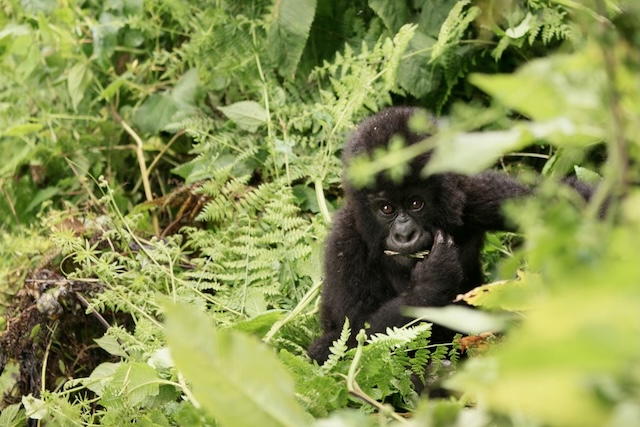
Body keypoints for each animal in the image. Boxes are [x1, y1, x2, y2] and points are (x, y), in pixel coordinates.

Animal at [308, 105, 592, 362]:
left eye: (416, 203)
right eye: (386, 208)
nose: (404, 235)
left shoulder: (471, 191)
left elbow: (561, 204)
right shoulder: (344, 243)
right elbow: (354, 340)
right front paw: (431, 281)